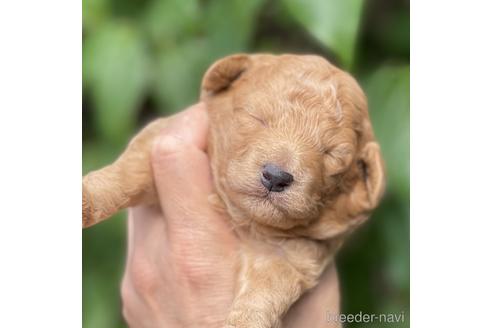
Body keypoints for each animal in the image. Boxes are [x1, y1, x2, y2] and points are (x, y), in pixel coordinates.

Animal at [82, 54, 386, 328]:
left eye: (332, 155)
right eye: (258, 118)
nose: (276, 177)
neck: (240, 216)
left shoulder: (294, 256)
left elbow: (265, 293)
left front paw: (246, 321)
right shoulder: (162, 134)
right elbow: (128, 172)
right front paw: (88, 199)